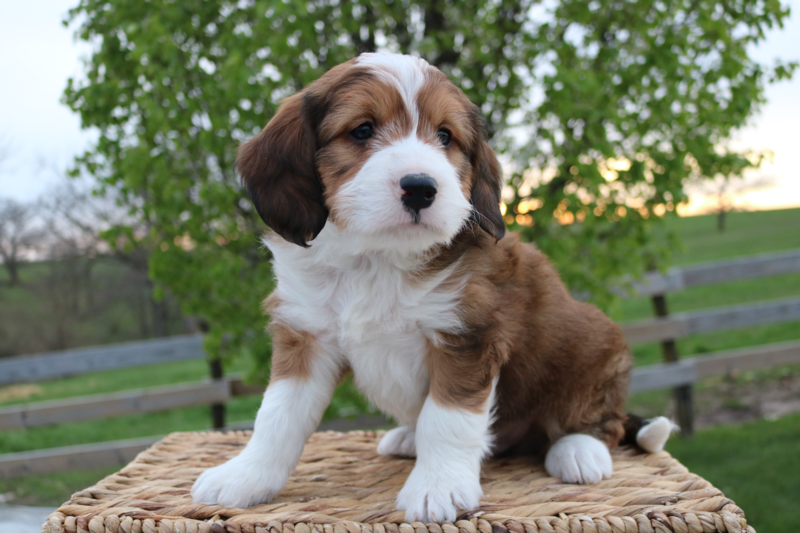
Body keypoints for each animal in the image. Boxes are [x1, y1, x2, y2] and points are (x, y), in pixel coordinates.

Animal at [194, 53, 676, 520]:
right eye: (362, 130)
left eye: (445, 137)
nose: (421, 188)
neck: (376, 258)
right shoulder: (306, 335)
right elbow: (277, 416)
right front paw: (244, 477)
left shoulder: (467, 336)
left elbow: (447, 420)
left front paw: (438, 488)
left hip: (594, 345)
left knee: (603, 420)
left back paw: (578, 450)